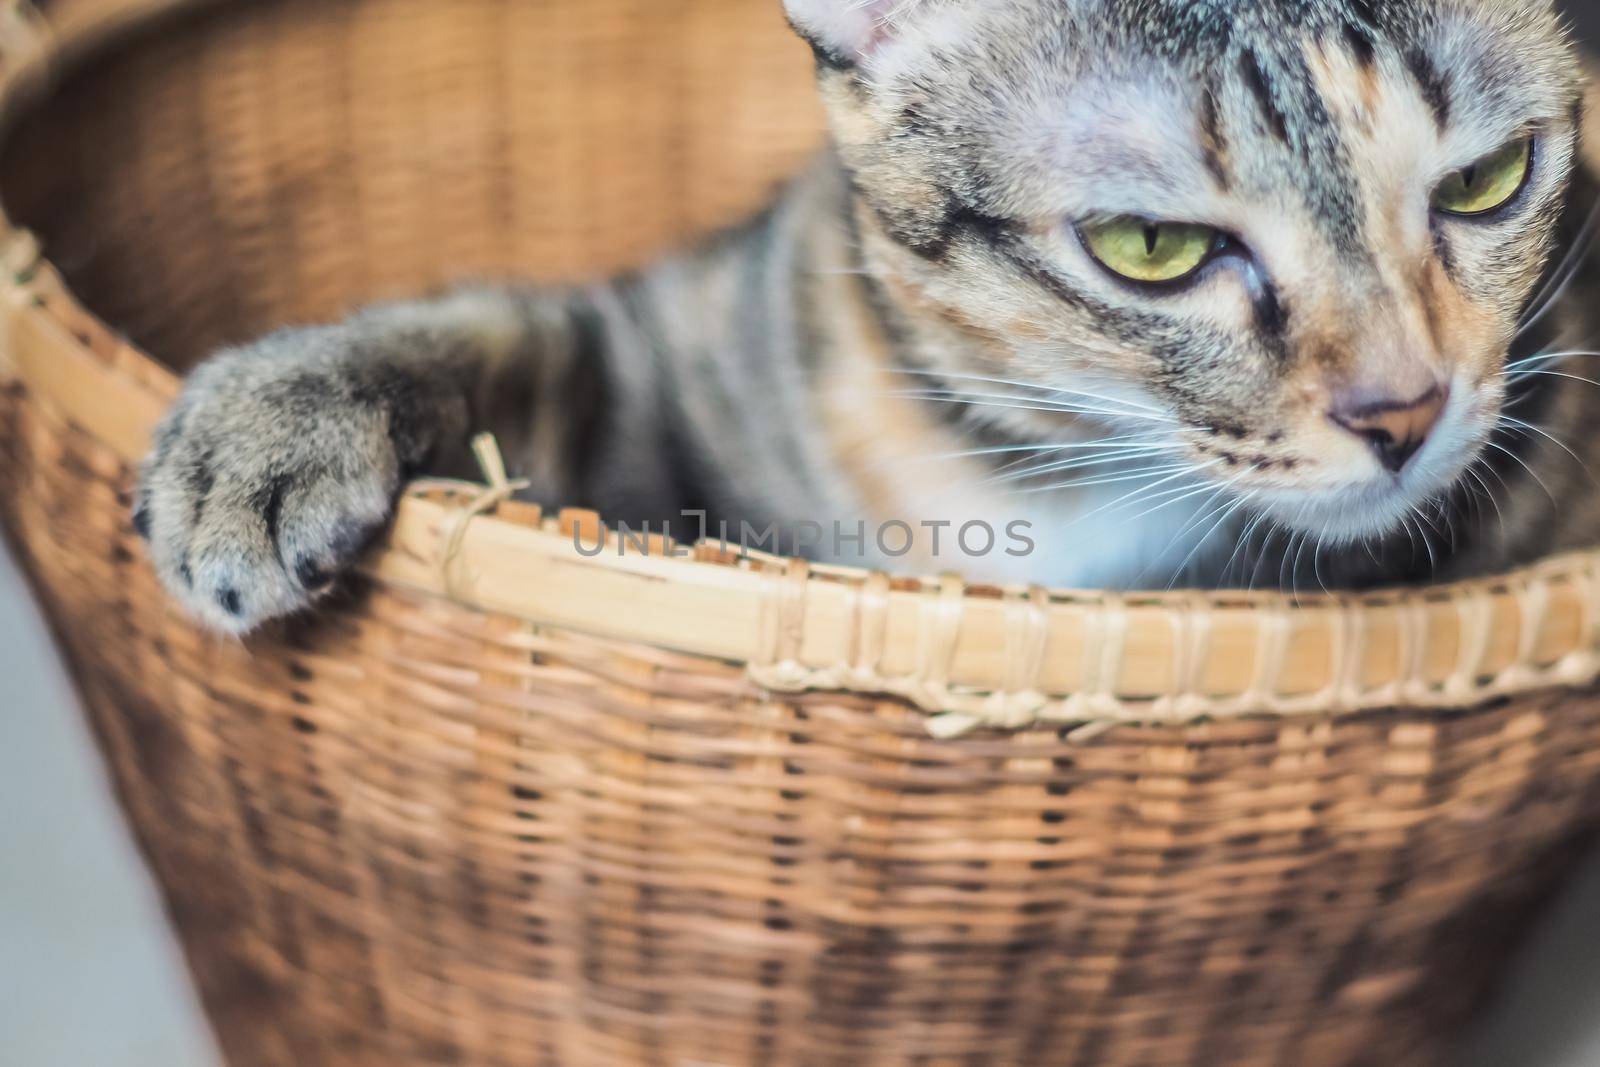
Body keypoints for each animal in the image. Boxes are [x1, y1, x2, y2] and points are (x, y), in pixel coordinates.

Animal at [134, 0, 1600, 633]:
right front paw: (257, 435)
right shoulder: (669, 365)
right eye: (1152, 246)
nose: (1405, 410)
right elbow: (508, 334)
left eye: (1487, 178)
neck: (1040, 478)